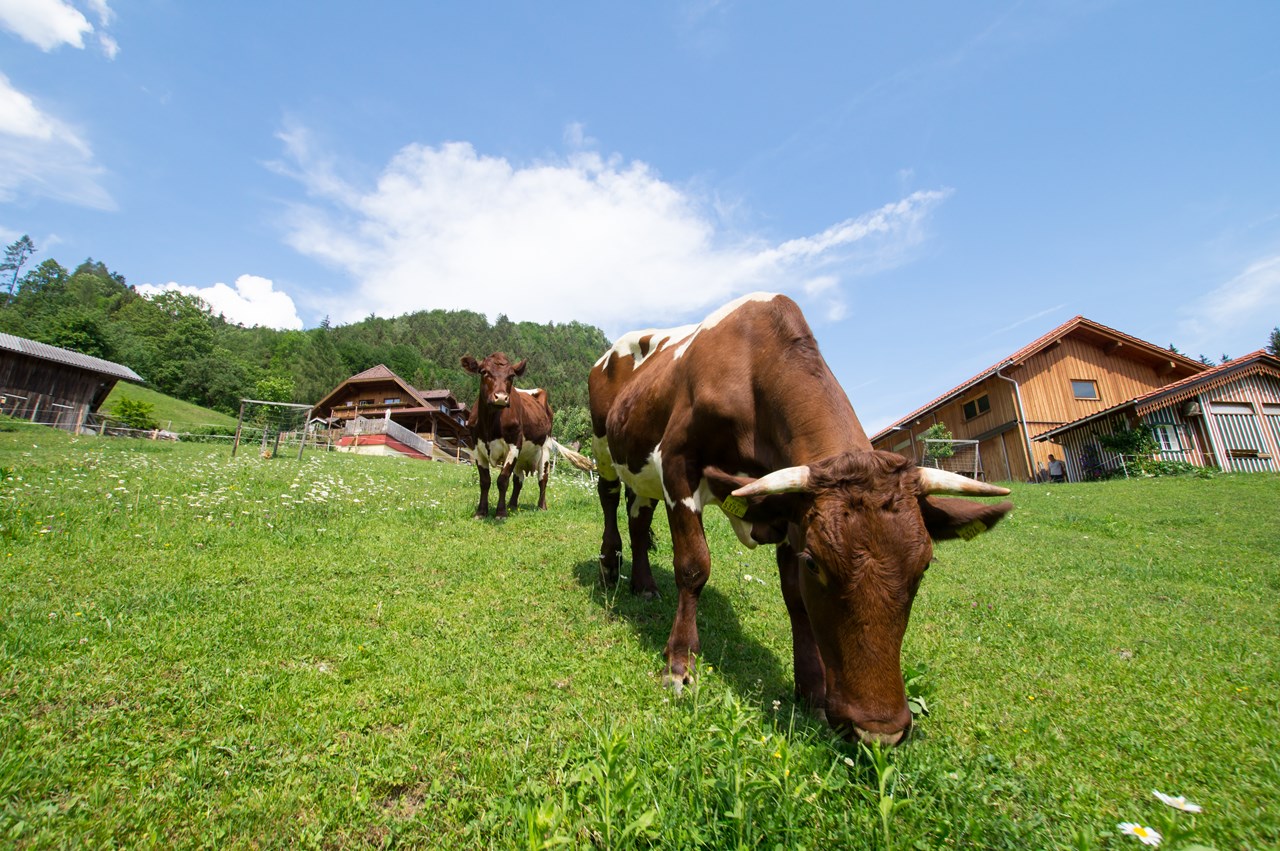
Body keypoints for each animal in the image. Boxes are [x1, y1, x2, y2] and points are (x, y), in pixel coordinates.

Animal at [462, 352, 592, 518]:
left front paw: (501, 512)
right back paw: (512, 505)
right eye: (484, 372)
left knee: (543, 479)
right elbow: (485, 481)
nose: (501, 397)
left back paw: (541, 506)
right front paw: (481, 512)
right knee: (519, 480)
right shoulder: (477, 447)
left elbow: (502, 480)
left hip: (545, 448)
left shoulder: (514, 445)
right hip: (522, 455)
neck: (490, 423)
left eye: (511, 376)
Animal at [588, 293, 1013, 745]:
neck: (753, 370)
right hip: (604, 447)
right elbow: (693, 566)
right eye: (816, 564)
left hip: (640, 466)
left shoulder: (791, 509)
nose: (879, 730)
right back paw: (610, 564)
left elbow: (795, 598)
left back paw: (645, 584)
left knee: (638, 516)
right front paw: (680, 665)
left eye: (925, 566)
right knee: (610, 499)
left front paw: (811, 689)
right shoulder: (677, 464)